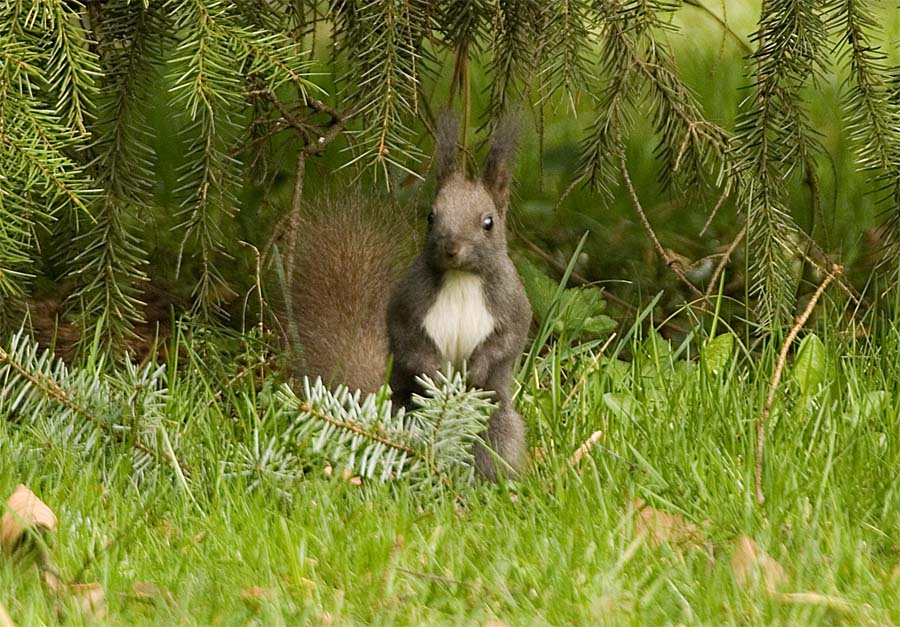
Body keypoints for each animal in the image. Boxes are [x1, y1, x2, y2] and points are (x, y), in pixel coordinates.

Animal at [284, 116, 532, 480]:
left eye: (488, 222)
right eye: (431, 216)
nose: (451, 247)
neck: (461, 278)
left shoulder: (511, 301)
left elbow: (508, 338)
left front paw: (474, 372)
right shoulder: (409, 303)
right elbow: (410, 343)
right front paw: (439, 377)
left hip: (495, 421)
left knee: (492, 444)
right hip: (402, 412)